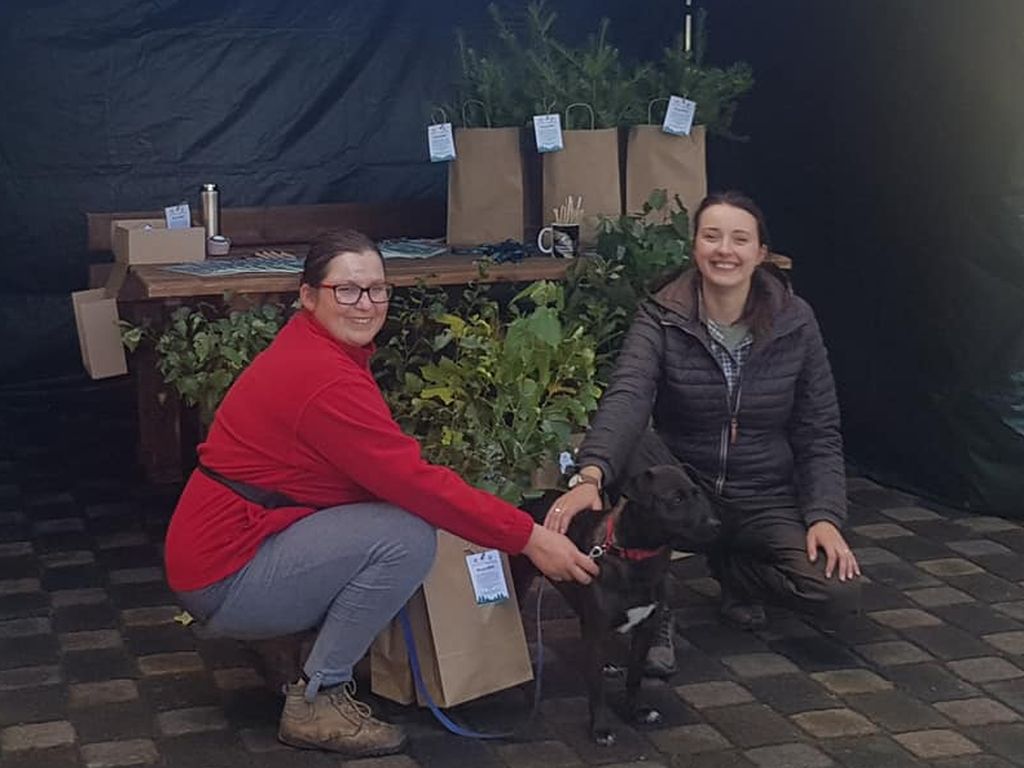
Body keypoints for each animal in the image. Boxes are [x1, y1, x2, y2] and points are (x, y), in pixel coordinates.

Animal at [516, 466, 724, 749]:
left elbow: (635, 676)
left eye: (697, 493)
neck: (635, 557)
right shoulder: (595, 630)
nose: (716, 525)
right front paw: (600, 728)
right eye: (676, 499)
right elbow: (596, 689)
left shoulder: (645, 627)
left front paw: (635, 710)